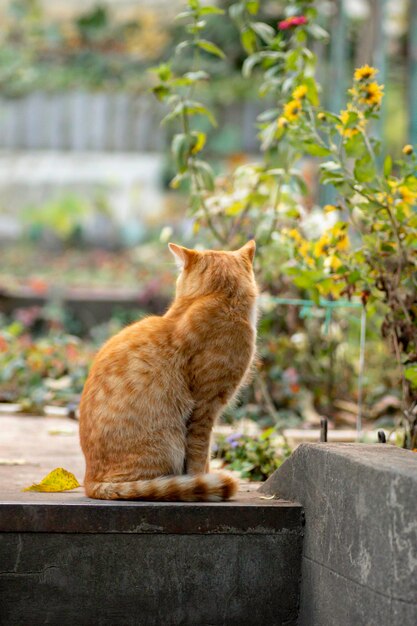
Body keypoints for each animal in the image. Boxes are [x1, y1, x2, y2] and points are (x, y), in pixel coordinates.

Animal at [76, 236, 255, 500]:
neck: (220, 299)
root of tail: (90, 482)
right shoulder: (205, 408)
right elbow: (200, 455)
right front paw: (202, 480)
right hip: (168, 444)